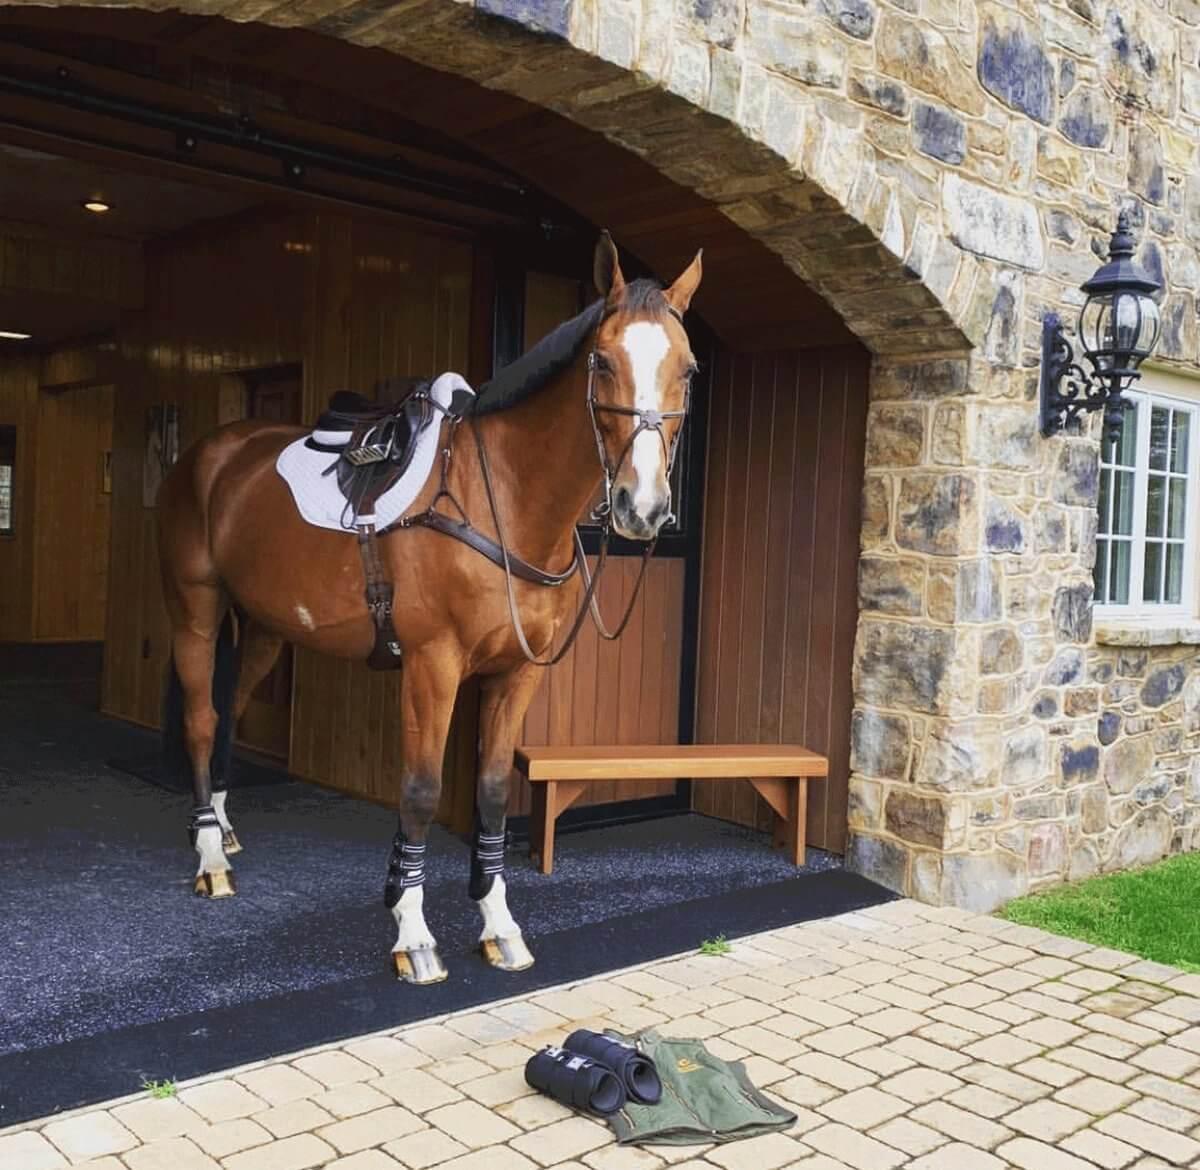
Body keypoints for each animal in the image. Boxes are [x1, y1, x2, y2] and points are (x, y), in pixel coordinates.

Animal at [157, 231, 702, 983]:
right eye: (601, 360)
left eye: (689, 370)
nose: (642, 509)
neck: (501, 499)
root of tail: (210, 454)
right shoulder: (432, 666)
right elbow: (419, 788)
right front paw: (412, 935)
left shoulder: (517, 672)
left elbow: (494, 790)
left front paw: (499, 926)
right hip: (195, 609)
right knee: (203, 719)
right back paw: (209, 857)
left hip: (267, 625)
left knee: (233, 708)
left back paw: (223, 826)